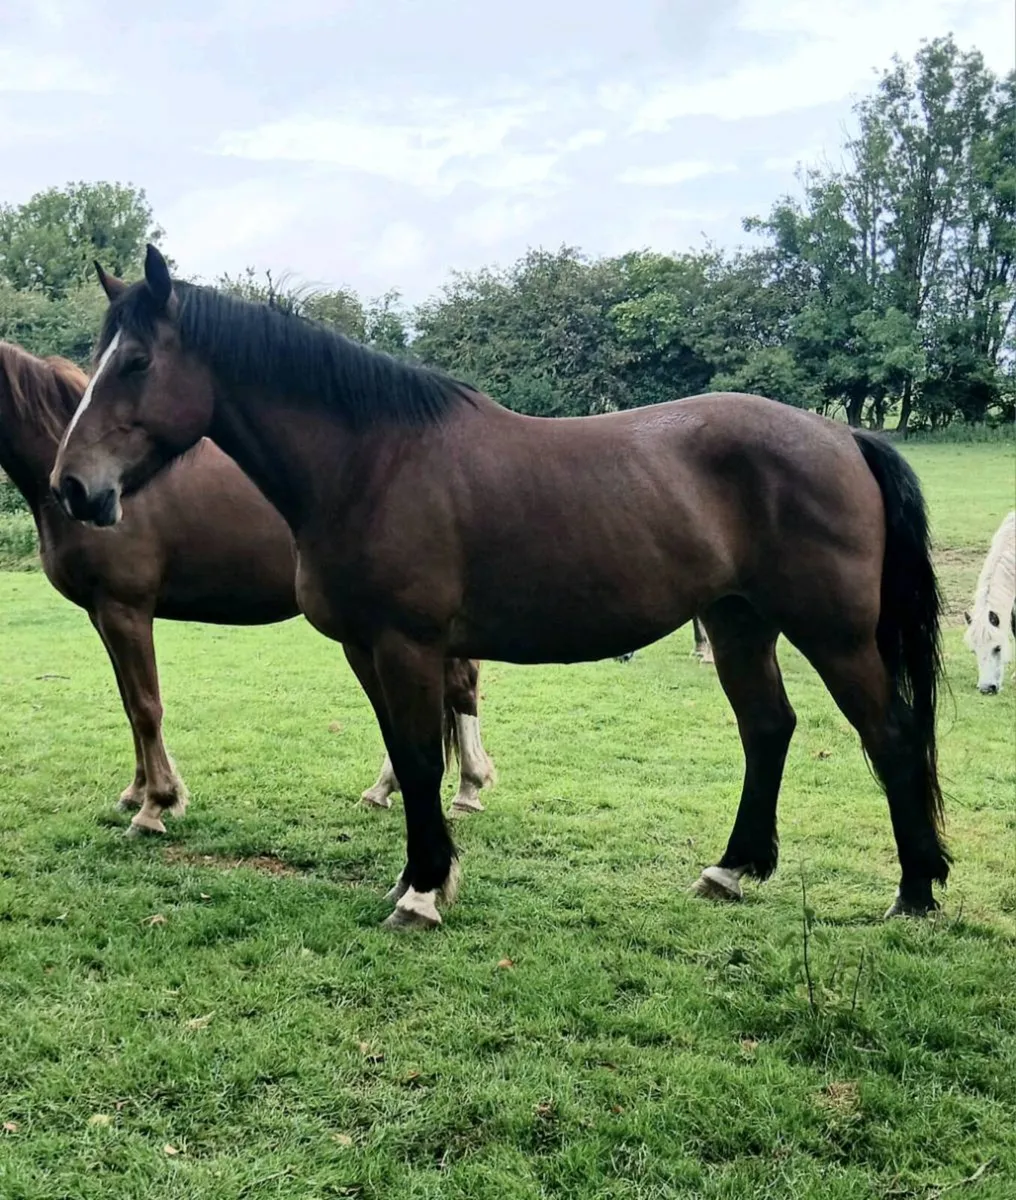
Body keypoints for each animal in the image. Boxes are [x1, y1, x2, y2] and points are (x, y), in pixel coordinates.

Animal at [0, 340, 494, 834]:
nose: (75, 489)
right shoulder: (101, 613)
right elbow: (129, 703)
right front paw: (137, 792)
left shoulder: (125, 609)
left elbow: (145, 706)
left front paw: (156, 804)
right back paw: (401, 787)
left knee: (459, 686)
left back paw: (463, 788)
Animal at [52, 247, 949, 928]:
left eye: (137, 362)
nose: (73, 488)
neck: (370, 462)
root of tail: (844, 436)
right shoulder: (365, 650)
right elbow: (405, 758)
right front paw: (423, 874)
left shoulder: (407, 645)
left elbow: (421, 760)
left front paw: (420, 893)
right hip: (737, 623)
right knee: (768, 728)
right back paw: (731, 869)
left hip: (833, 634)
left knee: (890, 736)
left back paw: (914, 894)